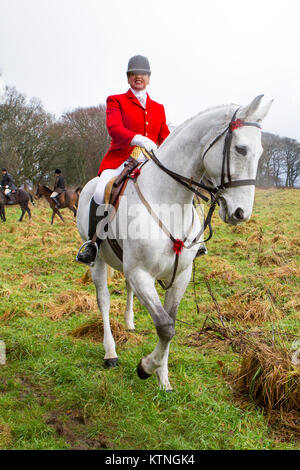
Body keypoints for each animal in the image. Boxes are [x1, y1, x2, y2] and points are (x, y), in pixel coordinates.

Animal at [77, 93, 272, 392]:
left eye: (260, 152)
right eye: (240, 149)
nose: (241, 213)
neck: (168, 200)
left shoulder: (180, 274)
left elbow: (171, 323)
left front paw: (163, 378)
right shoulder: (141, 273)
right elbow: (165, 326)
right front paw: (146, 367)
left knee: (127, 290)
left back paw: (130, 323)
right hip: (97, 261)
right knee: (104, 301)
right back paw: (110, 353)